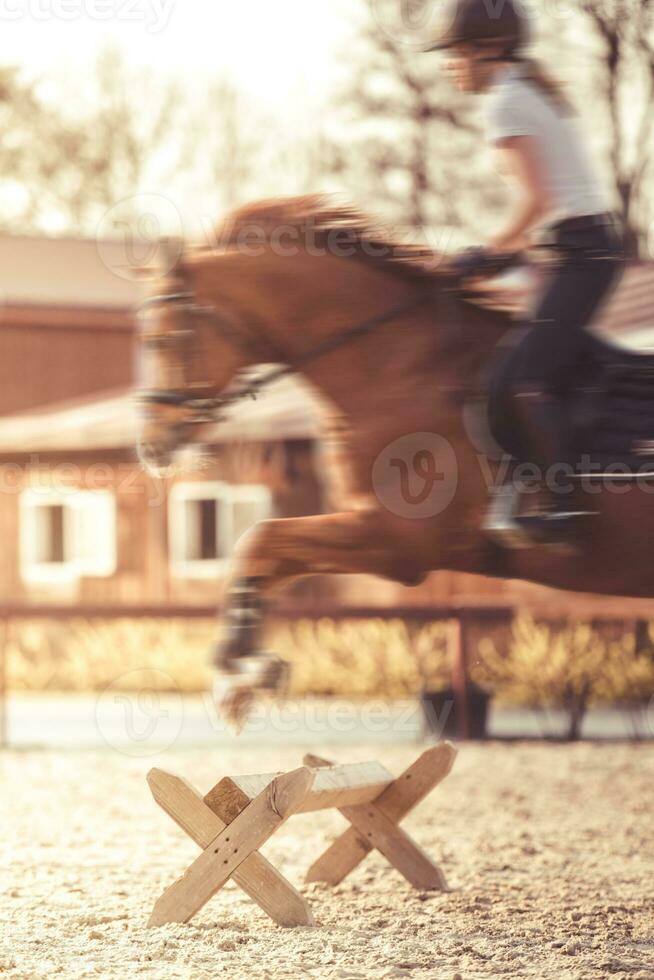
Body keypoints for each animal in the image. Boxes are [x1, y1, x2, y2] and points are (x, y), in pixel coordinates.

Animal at [136, 195, 654, 724]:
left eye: (162, 340)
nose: (151, 444)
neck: (400, 369)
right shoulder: (376, 532)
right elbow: (261, 555)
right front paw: (246, 670)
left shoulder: (396, 541)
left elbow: (259, 540)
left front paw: (236, 674)